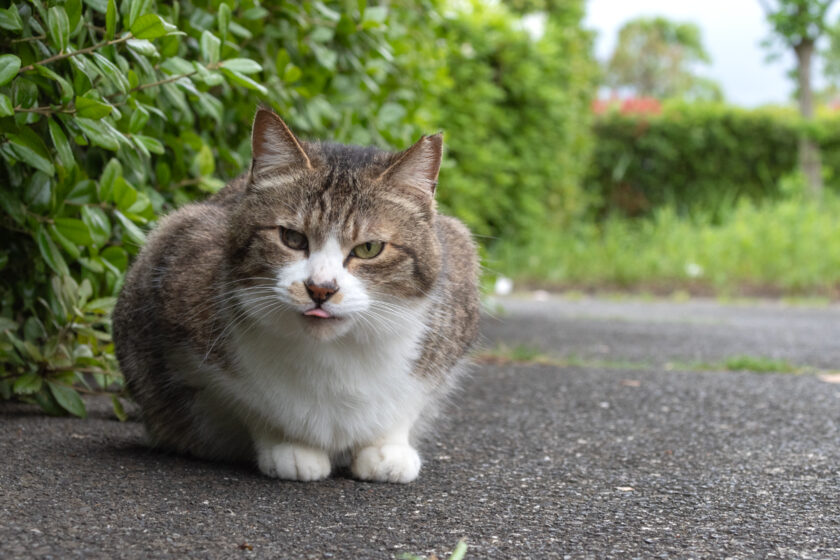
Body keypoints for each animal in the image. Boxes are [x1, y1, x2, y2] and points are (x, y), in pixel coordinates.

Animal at [111, 108, 480, 482]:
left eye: (369, 248)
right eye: (291, 238)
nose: (321, 288)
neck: (332, 356)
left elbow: (406, 404)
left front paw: (387, 448)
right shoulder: (180, 260)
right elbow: (253, 404)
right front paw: (290, 446)